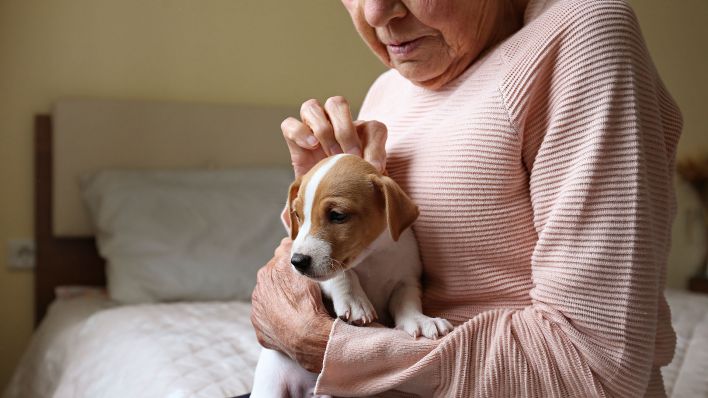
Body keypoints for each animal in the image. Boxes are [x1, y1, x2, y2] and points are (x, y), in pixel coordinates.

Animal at [253, 154, 454, 396]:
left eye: (337, 215)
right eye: (298, 215)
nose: (297, 261)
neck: (372, 257)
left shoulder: (406, 280)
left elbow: (407, 302)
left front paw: (420, 321)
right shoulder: (326, 276)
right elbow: (343, 275)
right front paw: (355, 301)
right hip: (270, 387)